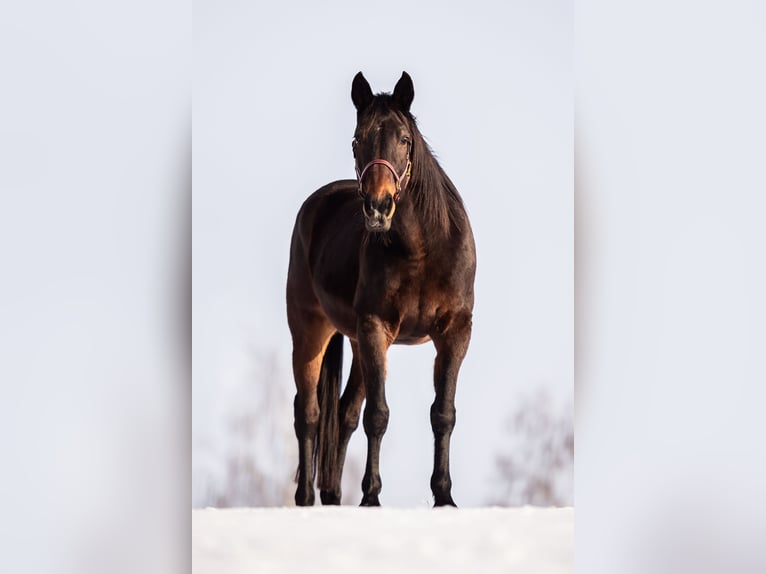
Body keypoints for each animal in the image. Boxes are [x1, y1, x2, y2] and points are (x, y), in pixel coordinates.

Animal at [286, 71, 476, 507]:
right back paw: (305, 499)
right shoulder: (376, 328)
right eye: (357, 140)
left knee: (342, 413)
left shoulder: (455, 331)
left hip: (356, 343)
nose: (378, 207)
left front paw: (444, 497)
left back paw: (332, 496)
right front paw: (371, 497)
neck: (422, 249)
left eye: (404, 139)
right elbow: (378, 415)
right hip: (310, 333)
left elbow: (443, 413)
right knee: (309, 415)